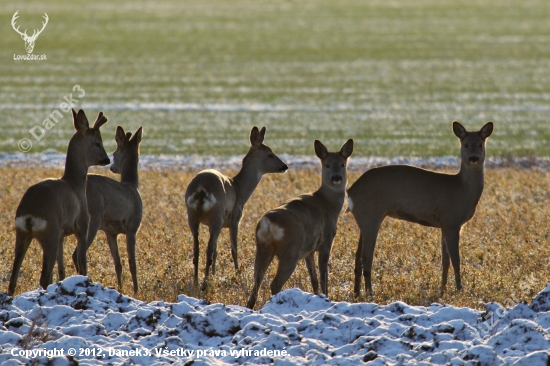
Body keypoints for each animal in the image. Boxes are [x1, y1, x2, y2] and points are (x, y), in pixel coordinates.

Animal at [7, 108, 110, 294]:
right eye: (97, 143)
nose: (107, 159)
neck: (75, 184)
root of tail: (30, 214)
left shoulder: (62, 234)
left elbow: (62, 269)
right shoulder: (82, 224)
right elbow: (82, 264)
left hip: (22, 233)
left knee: (14, 277)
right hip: (50, 233)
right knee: (44, 276)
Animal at [71, 126, 144, 294]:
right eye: (114, 153)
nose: (112, 167)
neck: (132, 185)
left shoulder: (110, 231)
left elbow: (118, 263)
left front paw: (121, 288)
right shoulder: (133, 227)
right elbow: (132, 263)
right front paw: (136, 291)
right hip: (94, 216)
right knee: (77, 253)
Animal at [185, 127, 288, 290]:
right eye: (270, 154)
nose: (285, 166)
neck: (239, 189)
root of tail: (201, 189)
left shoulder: (213, 224)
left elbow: (217, 251)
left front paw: (215, 274)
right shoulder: (235, 219)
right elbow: (234, 250)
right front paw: (238, 277)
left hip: (193, 216)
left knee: (198, 249)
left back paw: (196, 282)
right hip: (217, 216)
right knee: (208, 250)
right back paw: (204, 284)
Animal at [248, 139, 356, 310]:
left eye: (343, 164)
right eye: (326, 164)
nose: (336, 177)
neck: (329, 204)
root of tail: (268, 223)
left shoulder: (308, 251)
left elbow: (314, 279)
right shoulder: (326, 242)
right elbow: (324, 277)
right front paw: (328, 299)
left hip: (262, 247)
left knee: (255, 285)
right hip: (290, 250)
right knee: (275, 283)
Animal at [350, 120, 496, 298]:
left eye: (481, 144)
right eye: (466, 144)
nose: (473, 158)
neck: (462, 190)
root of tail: (350, 192)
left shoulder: (444, 225)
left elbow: (445, 260)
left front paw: (442, 291)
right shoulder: (452, 221)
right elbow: (456, 259)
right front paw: (460, 290)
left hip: (364, 220)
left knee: (357, 255)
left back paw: (357, 294)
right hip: (371, 215)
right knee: (366, 257)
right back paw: (370, 293)